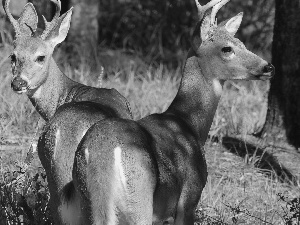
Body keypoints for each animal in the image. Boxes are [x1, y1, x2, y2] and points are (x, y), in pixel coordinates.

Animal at [62, 0, 276, 223]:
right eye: (227, 48)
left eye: (241, 42)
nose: (268, 66)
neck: (189, 122)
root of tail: (99, 156)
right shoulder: (189, 198)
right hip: (139, 201)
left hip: (86, 203)